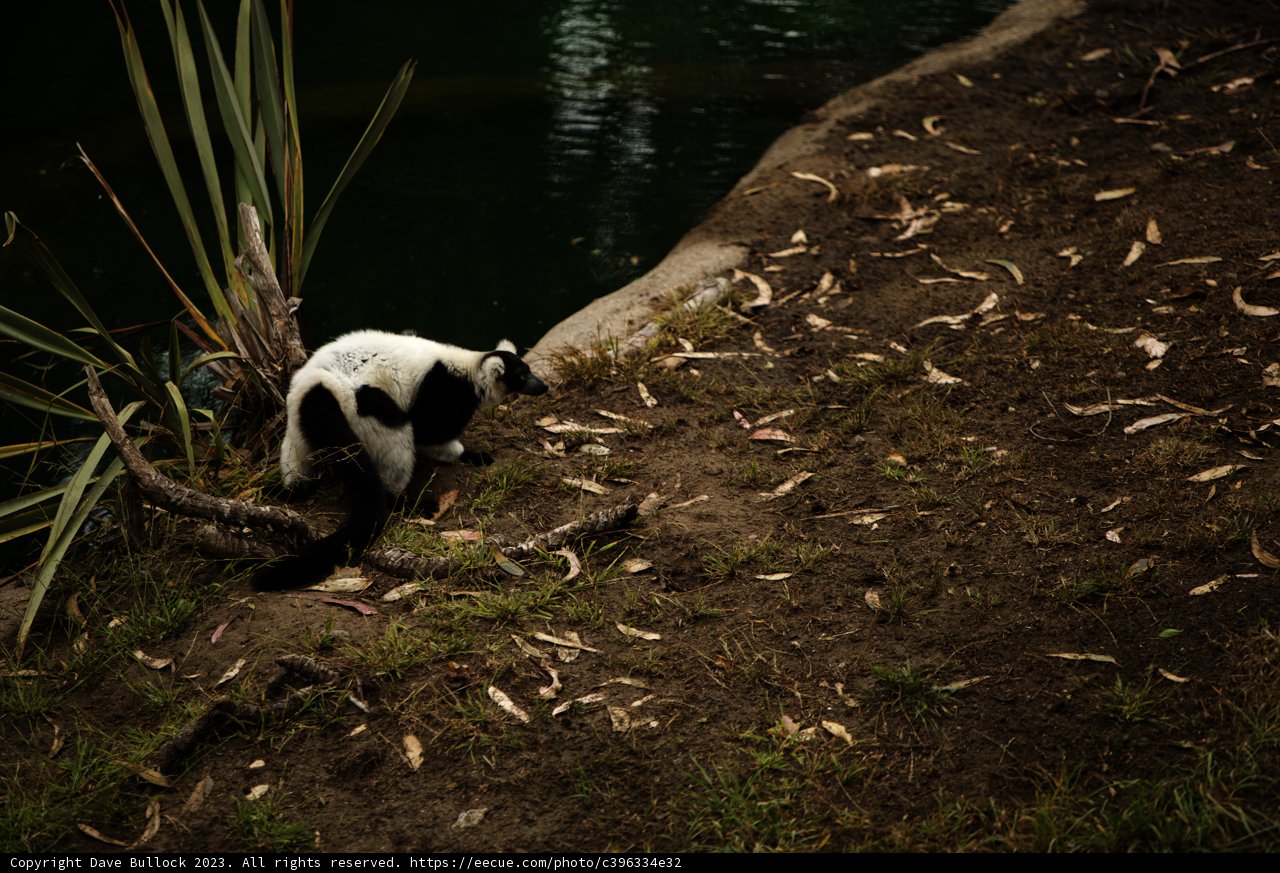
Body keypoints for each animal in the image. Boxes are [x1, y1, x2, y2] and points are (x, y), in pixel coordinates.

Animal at [253, 330, 548, 591]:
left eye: (529, 371)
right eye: (522, 376)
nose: (544, 385)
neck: (468, 368)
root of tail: (319, 384)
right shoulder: (442, 392)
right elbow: (429, 430)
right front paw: (462, 452)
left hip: (298, 418)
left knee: (299, 455)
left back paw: (293, 488)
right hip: (362, 403)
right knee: (396, 430)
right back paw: (403, 501)